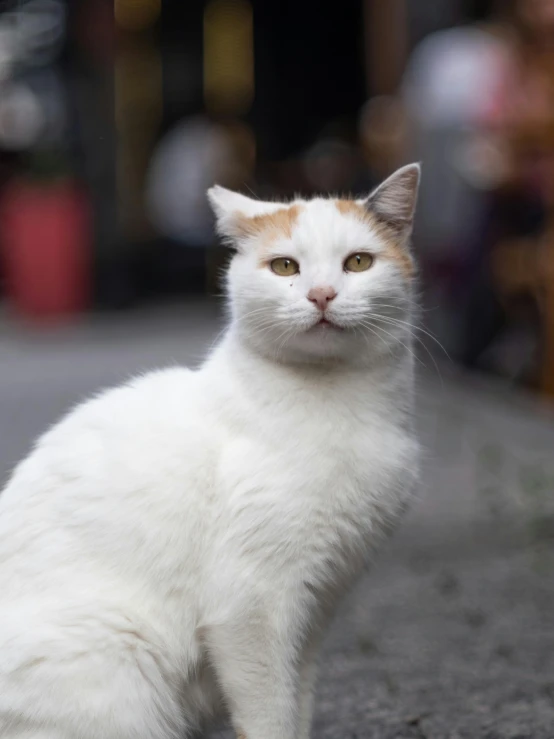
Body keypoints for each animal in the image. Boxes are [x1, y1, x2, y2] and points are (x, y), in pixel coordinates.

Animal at [0, 165, 418, 739]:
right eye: (285, 266)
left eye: (358, 262)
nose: (322, 295)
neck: (342, 403)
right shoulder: (251, 606)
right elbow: (270, 715)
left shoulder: (314, 612)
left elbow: (298, 705)